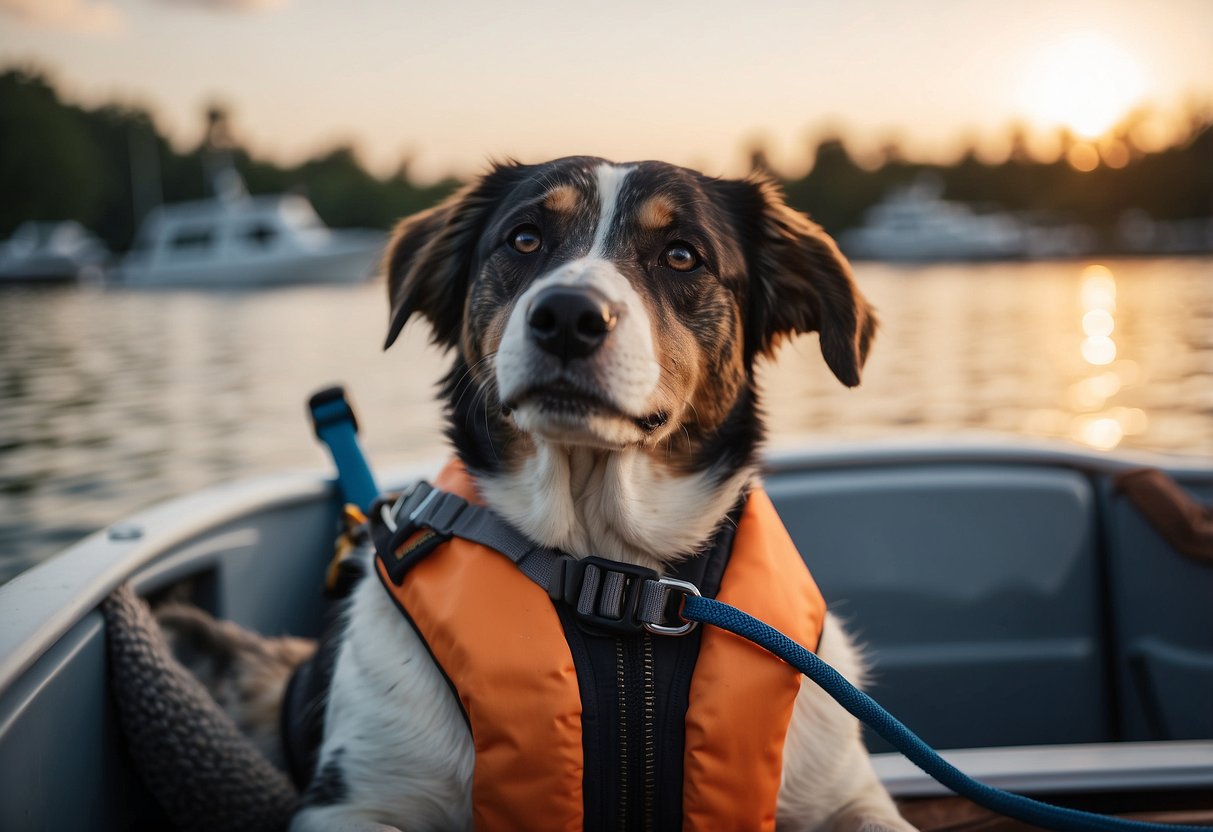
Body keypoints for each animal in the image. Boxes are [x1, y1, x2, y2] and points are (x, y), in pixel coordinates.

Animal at [166, 157, 912, 832]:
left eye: (681, 255)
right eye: (524, 238)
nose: (568, 315)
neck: (612, 578)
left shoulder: (844, 794)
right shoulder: (355, 800)